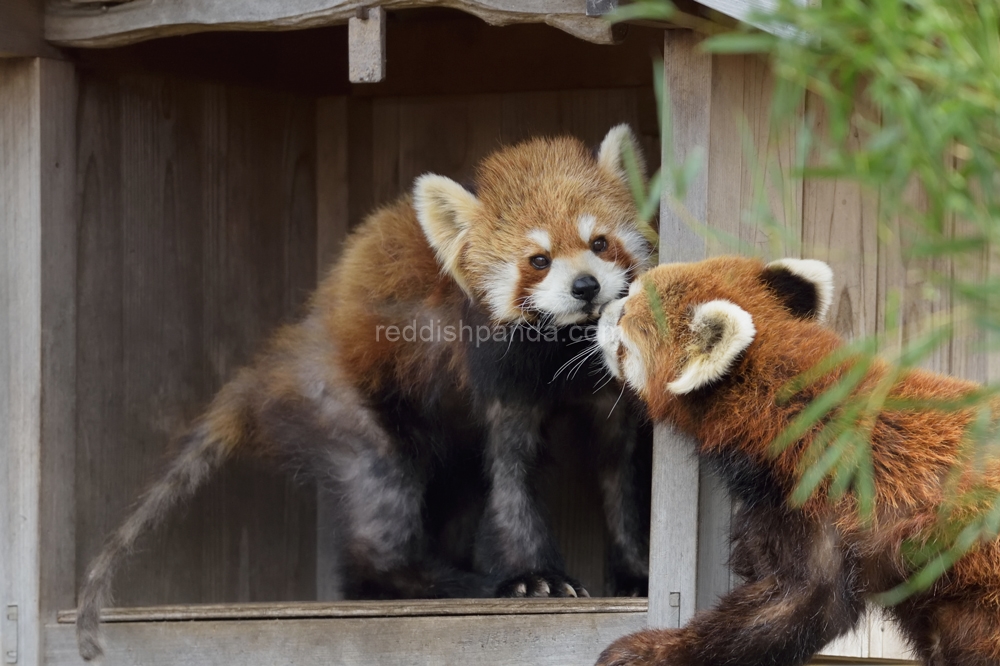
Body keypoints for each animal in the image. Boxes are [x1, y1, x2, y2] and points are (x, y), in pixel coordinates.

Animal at [78, 124, 656, 660]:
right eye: (538, 260)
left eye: (599, 243)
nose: (585, 286)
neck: (561, 355)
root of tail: (290, 351)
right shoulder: (501, 380)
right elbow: (512, 479)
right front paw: (535, 578)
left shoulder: (605, 392)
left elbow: (617, 474)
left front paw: (634, 572)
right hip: (354, 410)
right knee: (381, 508)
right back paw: (442, 581)